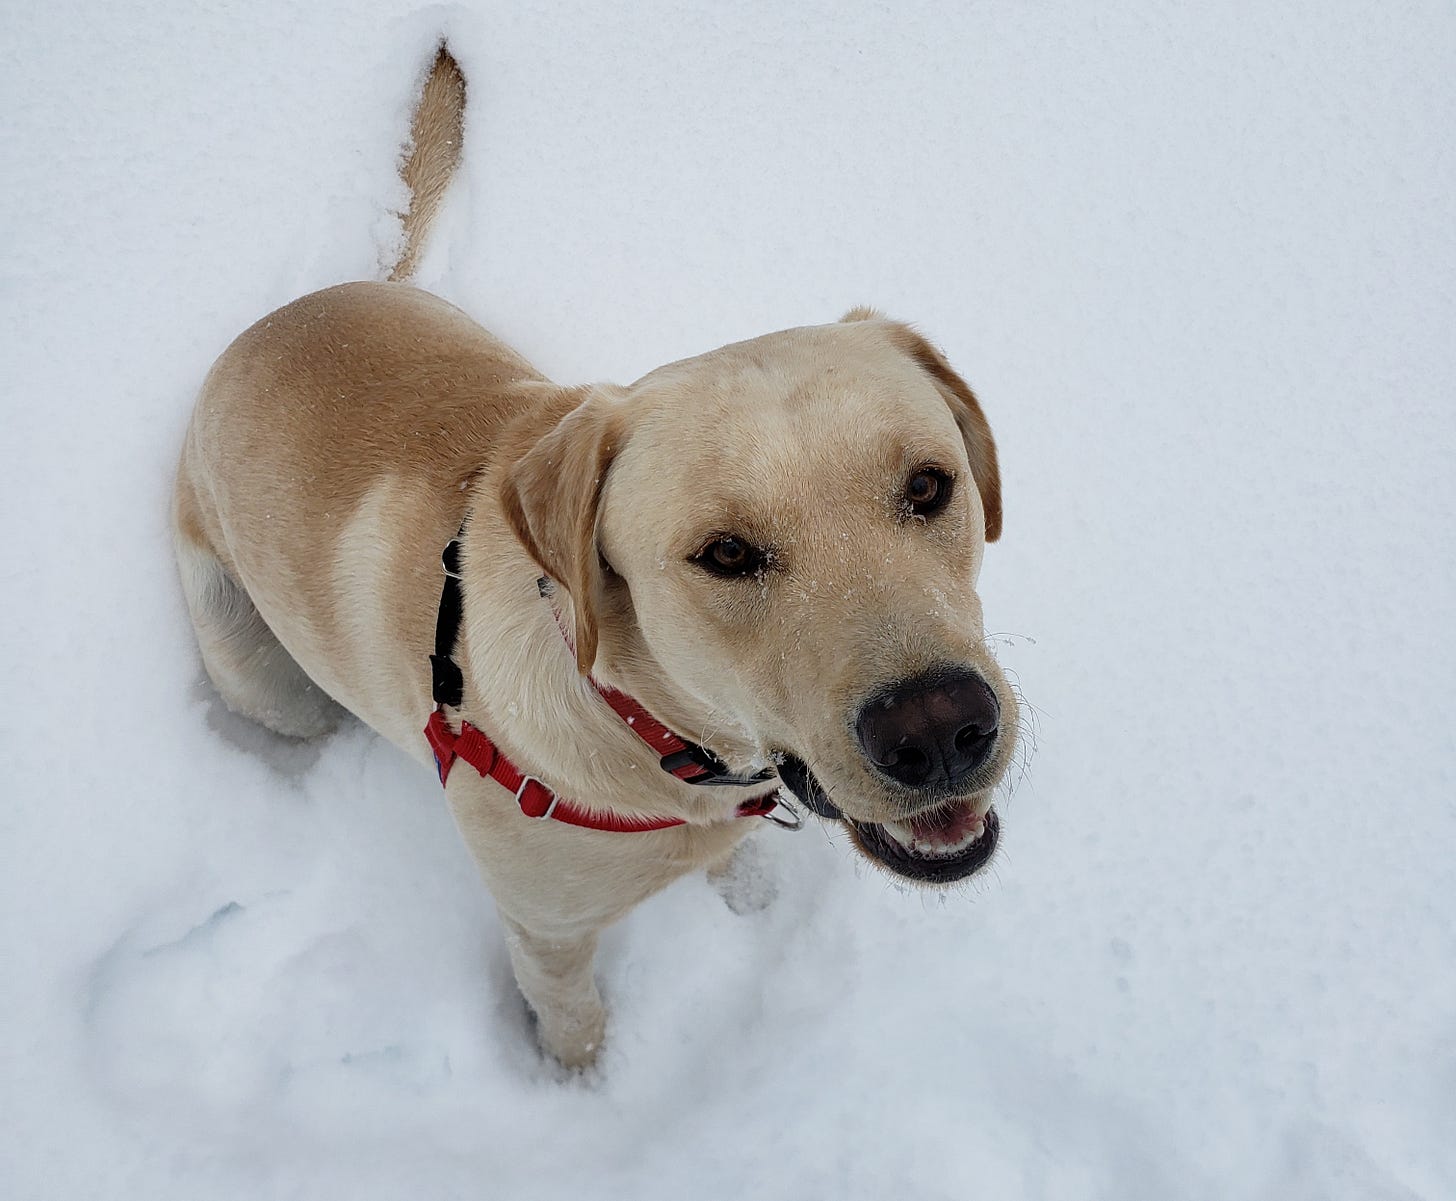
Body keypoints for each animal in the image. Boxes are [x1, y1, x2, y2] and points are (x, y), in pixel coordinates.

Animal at [176, 44, 1019, 1065]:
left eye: (930, 486)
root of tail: (284, 315)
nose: (940, 730)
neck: (650, 731)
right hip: (257, 669)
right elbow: (574, 1021)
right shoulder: (545, 933)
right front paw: (580, 1084)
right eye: (725, 552)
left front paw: (743, 886)